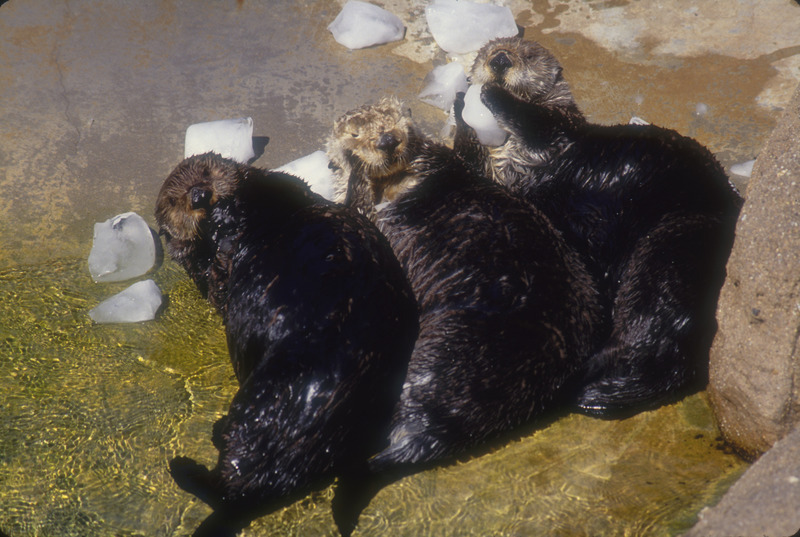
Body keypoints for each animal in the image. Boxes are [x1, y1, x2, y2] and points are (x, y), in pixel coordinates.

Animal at [155, 153, 419, 536]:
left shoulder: (275, 192)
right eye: (174, 202)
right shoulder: (209, 277)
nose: (200, 196)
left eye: (205, 173)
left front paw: (223, 216)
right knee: (229, 481)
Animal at [326, 98, 604, 532]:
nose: (388, 140)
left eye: (399, 120)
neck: (407, 178)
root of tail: (439, 429)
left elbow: (360, 208)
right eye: (355, 132)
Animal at [454, 37, 744, 416]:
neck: (509, 154)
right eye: (486, 52)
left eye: (528, 55)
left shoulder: (558, 129)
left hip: (678, 242)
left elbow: (537, 123)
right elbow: (468, 160)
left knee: (648, 334)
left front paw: (490, 94)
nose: (500, 61)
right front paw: (460, 103)